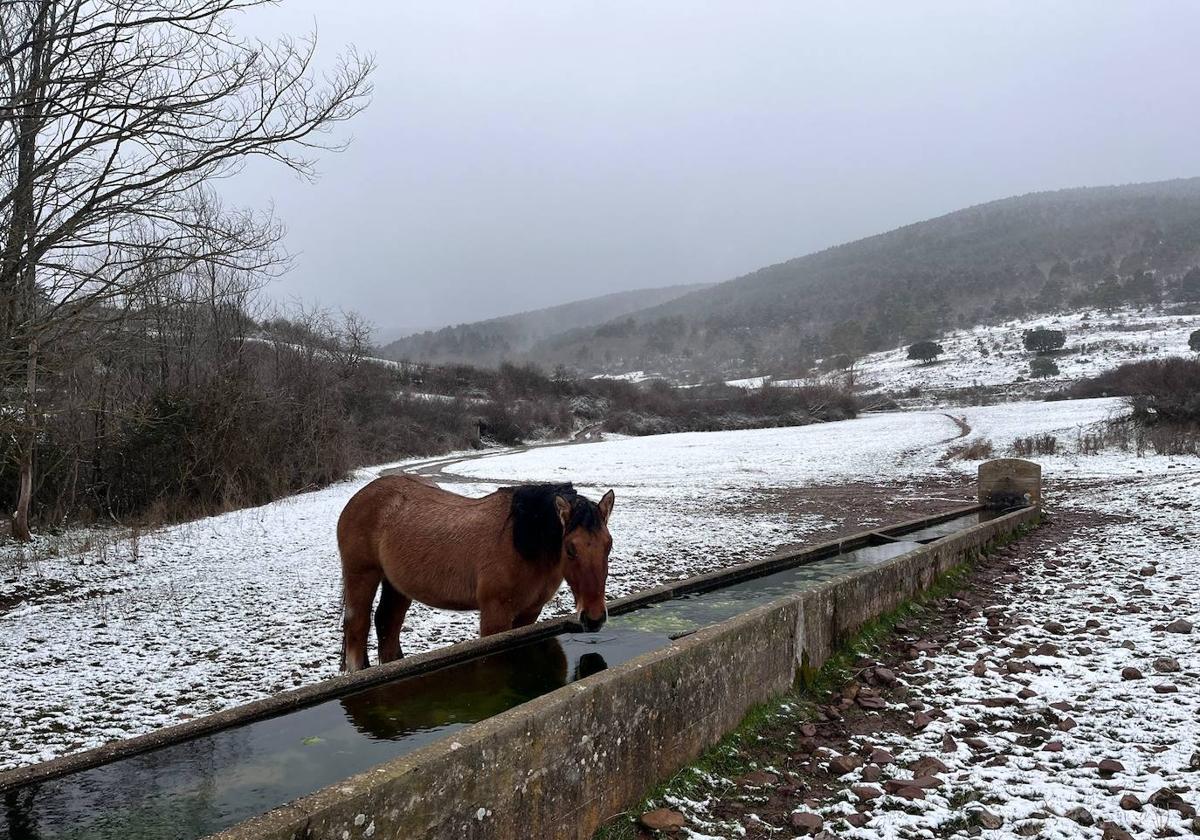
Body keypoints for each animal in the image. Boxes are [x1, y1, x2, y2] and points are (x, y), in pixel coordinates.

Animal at [340, 475, 614, 672]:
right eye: (570, 549)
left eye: (608, 545)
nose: (594, 618)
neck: (519, 540)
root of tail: (358, 499)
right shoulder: (495, 614)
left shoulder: (529, 613)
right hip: (361, 576)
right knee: (357, 628)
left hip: (397, 586)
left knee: (388, 624)